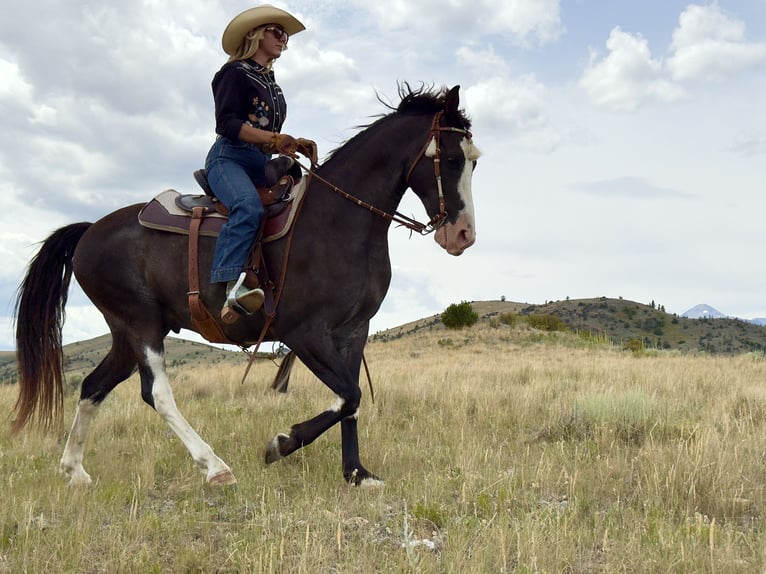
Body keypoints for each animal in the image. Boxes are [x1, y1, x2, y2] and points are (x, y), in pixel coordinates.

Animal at [12, 84, 480, 487]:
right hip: (139, 324)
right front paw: (282, 443)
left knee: (93, 386)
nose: (463, 235)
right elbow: (348, 394)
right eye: (450, 159)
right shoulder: (304, 332)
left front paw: (356, 474)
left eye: (474, 160)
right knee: (156, 393)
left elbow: (352, 401)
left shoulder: (353, 331)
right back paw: (214, 466)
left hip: (127, 334)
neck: (337, 219)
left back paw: (75, 471)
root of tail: (89, 231)